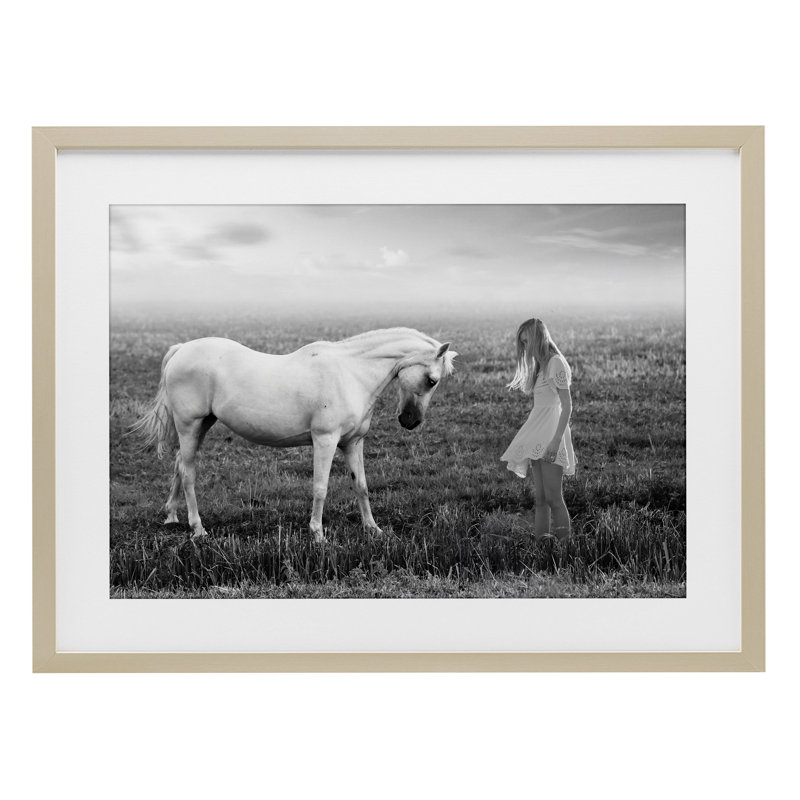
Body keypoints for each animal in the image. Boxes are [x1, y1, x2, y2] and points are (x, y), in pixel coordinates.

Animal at [131, 327, 457, 541]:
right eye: (432, 380)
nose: (410, 421)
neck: (350, 373)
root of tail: (181, 349)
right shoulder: (325, 440)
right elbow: (320, 488)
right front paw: (318, 534)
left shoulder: (353, 443)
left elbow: (361, 486)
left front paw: (373, 529)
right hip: (189, 425)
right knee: (188, 473)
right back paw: (198, 528)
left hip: (201, 425)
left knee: (179, 465)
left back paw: (172, 516)